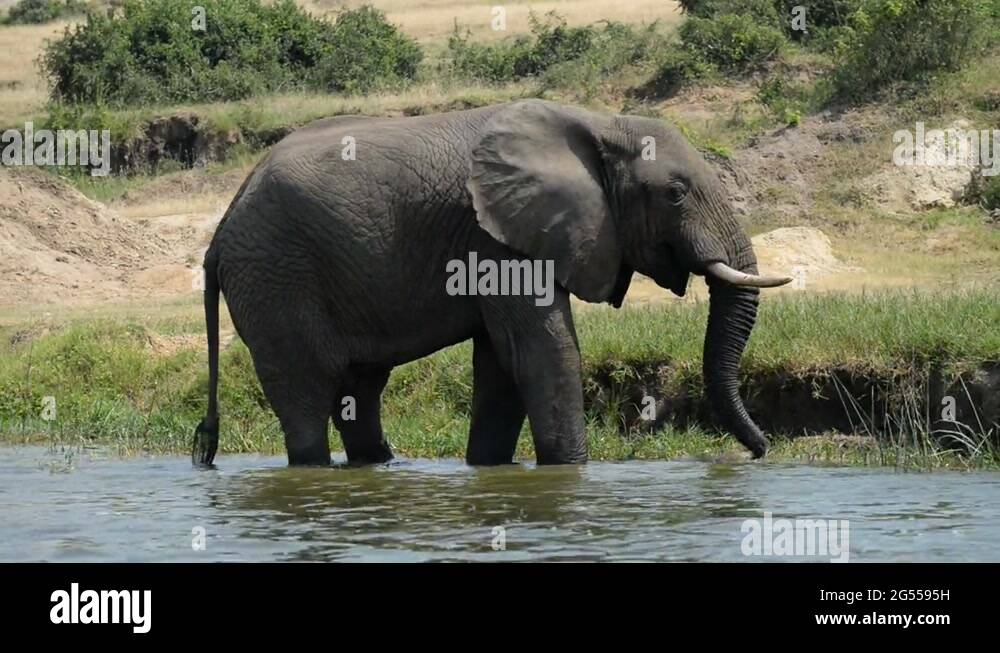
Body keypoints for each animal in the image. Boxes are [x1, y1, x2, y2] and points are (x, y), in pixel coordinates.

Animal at [193, 99, 788, 466]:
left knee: (359, 391)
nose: (759, 451)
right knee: (306, 397)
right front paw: (569, 472)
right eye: (675, 194)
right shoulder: (496, 234)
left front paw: (488, 469)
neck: (597, 123)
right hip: (274, 276)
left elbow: (503, 363)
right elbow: (540, 349)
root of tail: (221, 230)